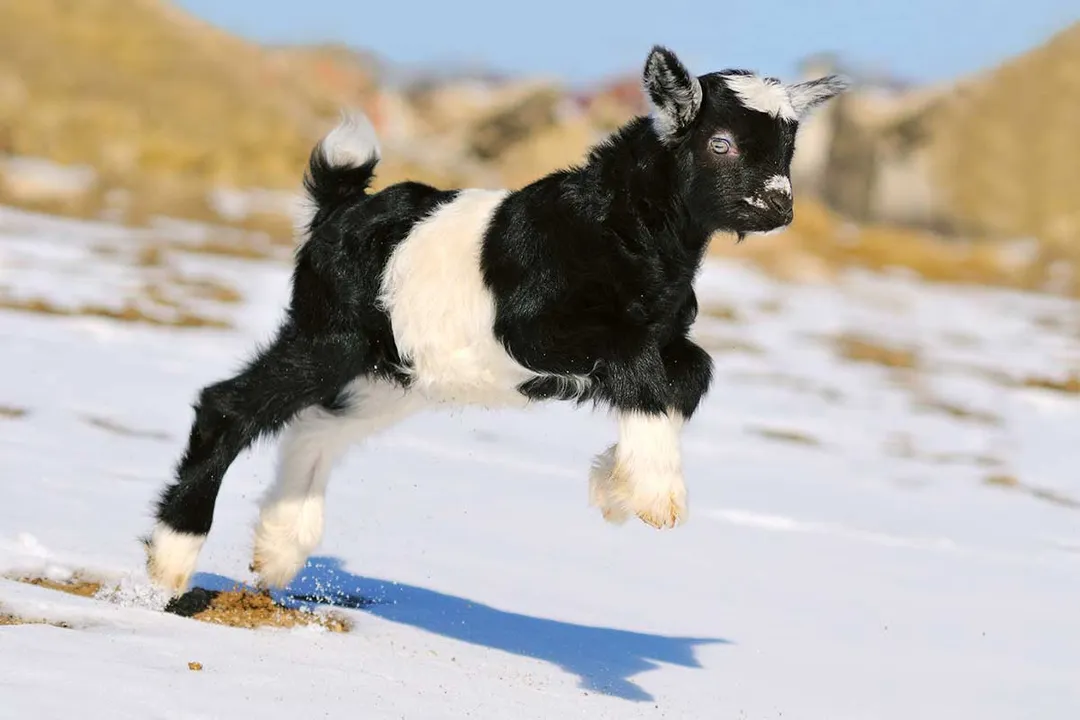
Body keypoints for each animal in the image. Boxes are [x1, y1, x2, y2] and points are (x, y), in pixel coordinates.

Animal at [144, 46, 848, 595]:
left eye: (789, 149)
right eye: (720, 143)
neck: (623, 224)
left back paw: (280, 549)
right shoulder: (540, 332)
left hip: (394, 370)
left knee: (318, 425)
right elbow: (642, 368)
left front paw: (616, 483)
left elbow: (692, 371)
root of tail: (341, 207)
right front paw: (653, 494)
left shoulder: (663, 333)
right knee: (229, 406)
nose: (777, 207)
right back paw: (172, 560)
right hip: (330, 336)